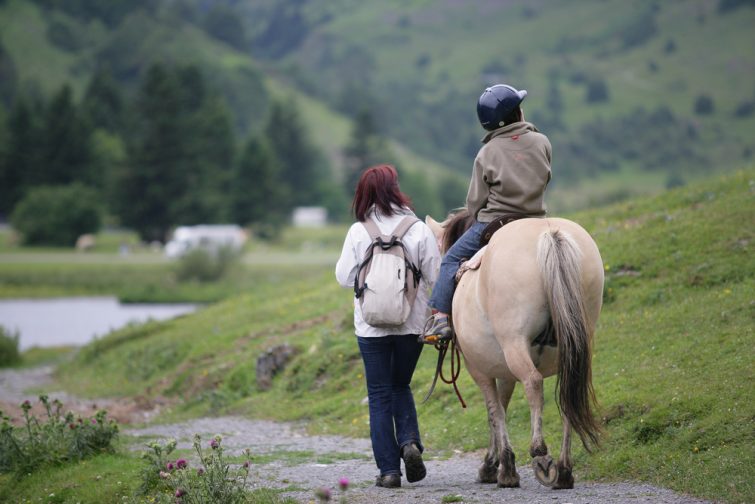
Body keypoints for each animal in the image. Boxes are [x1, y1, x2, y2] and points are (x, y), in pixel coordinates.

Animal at [428, 209, 604, 488]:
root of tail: (549, 234)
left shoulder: (478, 369)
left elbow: (494, 412)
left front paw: (504, 469)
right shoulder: (503, 370)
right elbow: (502, 405)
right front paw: (496, 463)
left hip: (515, 345)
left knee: (533, 383)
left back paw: (541, 455)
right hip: (573, 347)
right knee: (569, 393)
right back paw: (564, 470)